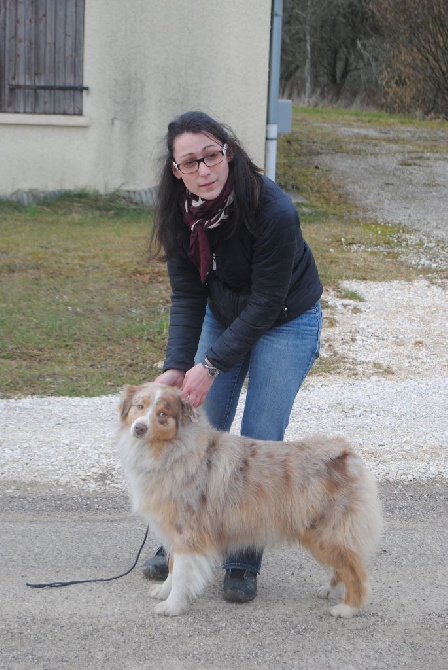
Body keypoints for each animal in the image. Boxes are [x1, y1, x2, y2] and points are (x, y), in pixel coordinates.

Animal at [118, 384, 382, 620]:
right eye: (139, 406)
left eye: (163, 414)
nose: (139, 428)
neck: (172, 450)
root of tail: (345, 453)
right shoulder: (175, 531)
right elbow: (173, 569)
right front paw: (164, 592)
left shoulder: (188, 532)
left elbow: (182, 573)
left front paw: (172, 606)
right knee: (344, 566)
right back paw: (331, 591)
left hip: (327, 533)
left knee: (356, 571)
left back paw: (347, 608)